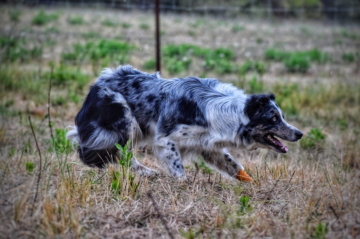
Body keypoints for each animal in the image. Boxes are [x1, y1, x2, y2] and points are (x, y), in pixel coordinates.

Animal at [66, 65, 302, 181]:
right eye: (274, 118)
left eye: (281, 116)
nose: (299, 133)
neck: (229, 112)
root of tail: (98, 83)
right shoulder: (166, 138)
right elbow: (177, 166)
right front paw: (183, 183)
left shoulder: (209, 146)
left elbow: (234, 166)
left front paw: (252, 185)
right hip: (127, 119)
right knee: (122, 154)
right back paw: (147, 172)